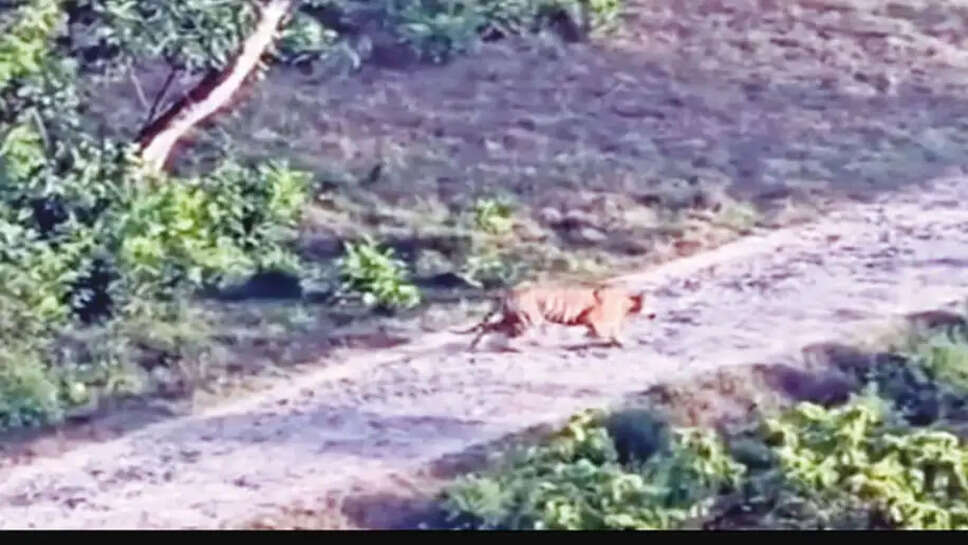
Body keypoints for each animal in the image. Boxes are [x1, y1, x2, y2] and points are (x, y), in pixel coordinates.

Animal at [452, 282, 655, 350]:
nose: (655, 314)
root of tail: (511, 291)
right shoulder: (597, 319)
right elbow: (607, 332)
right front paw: (621, 342)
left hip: (512, 319)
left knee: (487, 327)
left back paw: (474, 345)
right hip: (528, 320)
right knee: (512, 335)